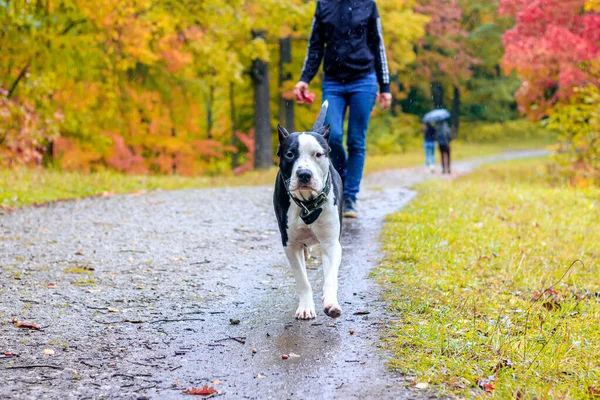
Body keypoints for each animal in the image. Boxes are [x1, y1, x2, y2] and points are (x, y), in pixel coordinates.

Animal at [274, 101, 342, 320]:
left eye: (318, 154)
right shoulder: (290, 245)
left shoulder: (331, 243)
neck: (307, 204)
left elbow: (330, 276)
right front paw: (305, 306)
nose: (304, 174)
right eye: (289, 154)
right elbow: (302, 280)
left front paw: (331, 303)